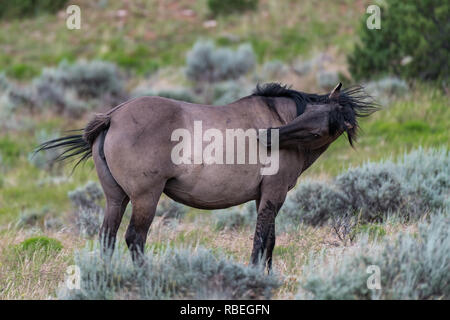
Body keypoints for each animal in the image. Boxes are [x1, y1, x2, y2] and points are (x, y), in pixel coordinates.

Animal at [37, 82, 376, 270]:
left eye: (319, 126)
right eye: (306, 115)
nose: (267, 136)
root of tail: (112, 117)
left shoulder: (265, 197)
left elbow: (269, 241)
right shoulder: (273, 195)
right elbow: (261, 240)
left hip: (116, 198)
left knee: (107, 238)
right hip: (145, 198)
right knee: (135, 238)